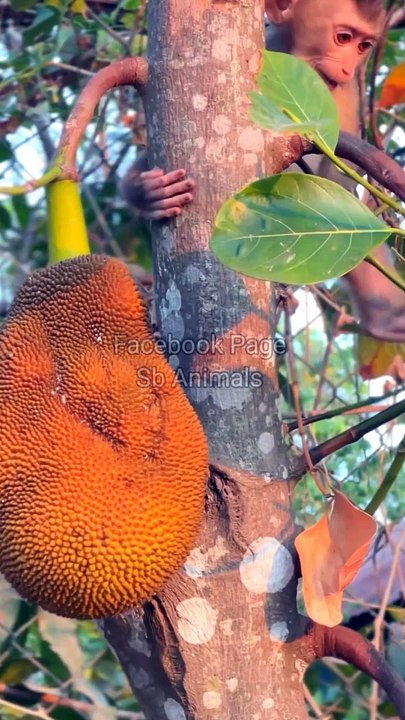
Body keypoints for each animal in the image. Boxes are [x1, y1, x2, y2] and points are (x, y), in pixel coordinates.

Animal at [121, 0, 405, 344]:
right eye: (343, 38)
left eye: (363, 46)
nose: (349, 68)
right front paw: (147, 192)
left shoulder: (345, 94)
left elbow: (336, 181)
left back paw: (386, 319)